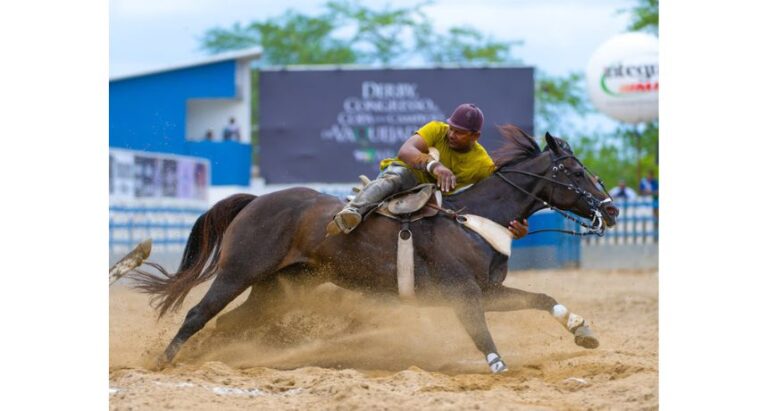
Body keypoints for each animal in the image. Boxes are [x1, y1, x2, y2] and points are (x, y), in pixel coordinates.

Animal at [126, 127, 616, 374]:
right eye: (575, 171)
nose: (610, 209)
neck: (473, 219)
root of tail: (256, 200)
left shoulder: (490, 292)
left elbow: (543, 299)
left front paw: (584, 330)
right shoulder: (463, 293)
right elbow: (479, 332)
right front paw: (498, 366)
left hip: (278, 289)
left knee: (229, 323)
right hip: (238, 272)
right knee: (197, 314)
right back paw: (162, 361)